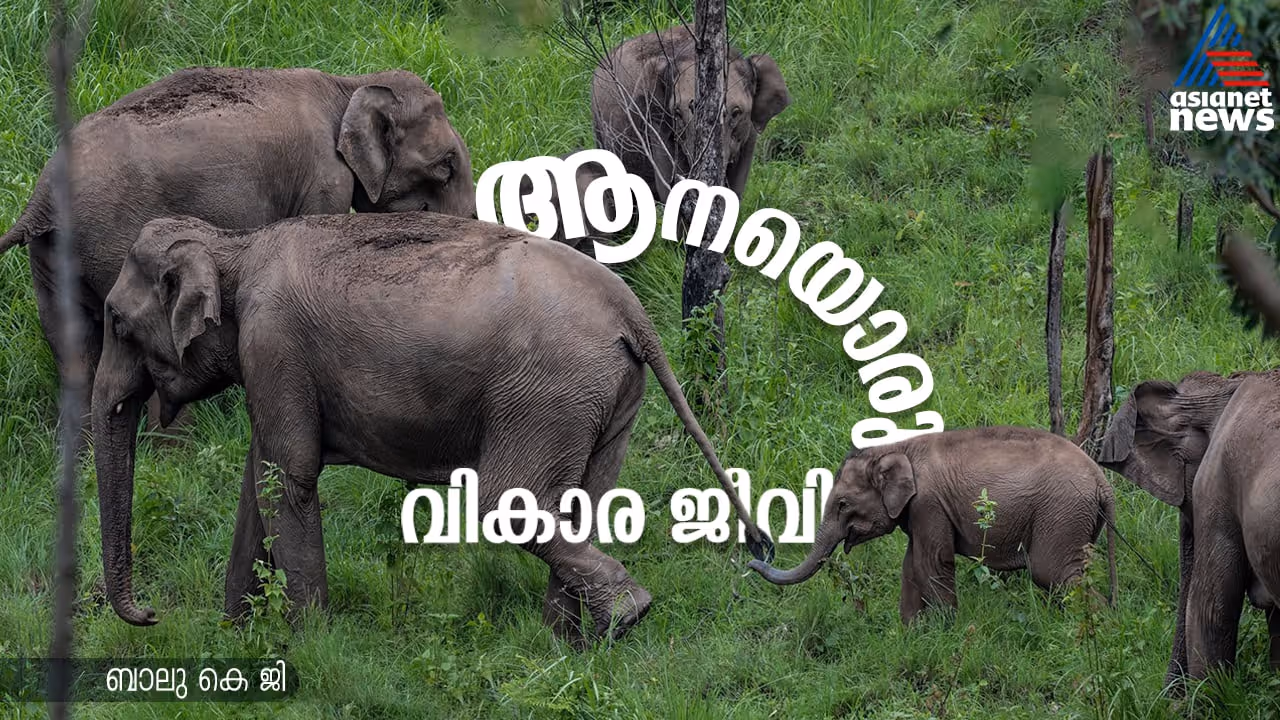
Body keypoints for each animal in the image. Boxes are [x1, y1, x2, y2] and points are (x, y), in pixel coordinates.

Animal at [0, 66, 475, 420]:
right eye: (446, 166)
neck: (348, 85)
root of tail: (39, 199)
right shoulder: (323, 178)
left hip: (54, 256)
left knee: (72, 344)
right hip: (111, 241)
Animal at [91, 211, 773, 646]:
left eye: (118, 323)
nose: (149, 615)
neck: (234, 244)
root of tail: (631, 308)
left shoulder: (273, 343)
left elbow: (290, 479)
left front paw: (308, 646)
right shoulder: (269, 361)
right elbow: (260, 479)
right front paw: (235, 639)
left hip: (548, 390)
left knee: (509, 502)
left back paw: (624, 617)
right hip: (603, 395)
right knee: (583, 502)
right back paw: (569, 645)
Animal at [591, 25, 790, 200]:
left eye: (736, 113)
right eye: (677, 113)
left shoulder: (749, 133)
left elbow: (736, 188)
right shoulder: (655, 123)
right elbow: (669, 189)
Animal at [748, 427, 1118, 624]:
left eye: (842, 505)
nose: (754, 560)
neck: (896, 446)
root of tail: (1103, 482)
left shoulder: (929, 503)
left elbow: (931, 563)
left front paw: (946, 629)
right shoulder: (918, 512)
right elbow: (911, 566)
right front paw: (911, 633)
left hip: (1061, 513)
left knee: (1053, 573)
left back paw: (1097, 627)